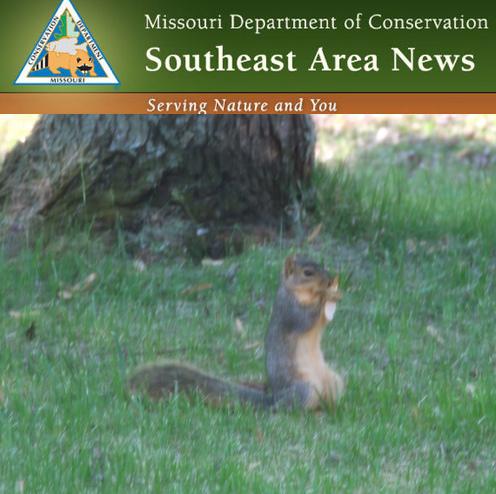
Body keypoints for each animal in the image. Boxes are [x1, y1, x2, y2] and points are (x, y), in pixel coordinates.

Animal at [128, 253, 344, 412]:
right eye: (308, 272)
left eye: (321, 265)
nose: (329, 279)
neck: (300, 293)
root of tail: (274, 399)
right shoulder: (289, 310)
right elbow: (306, 320)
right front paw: (326, 296)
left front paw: (333, 294)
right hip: (304, 389)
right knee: (291, 409)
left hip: (333, 382)